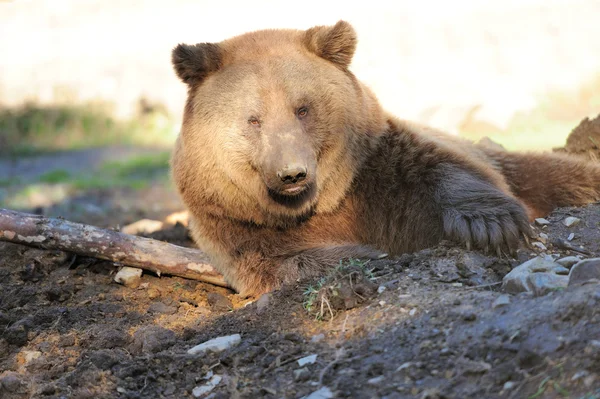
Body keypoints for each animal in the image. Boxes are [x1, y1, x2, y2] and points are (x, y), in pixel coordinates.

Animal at [169, 21, 600, 296]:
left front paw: (489, 225)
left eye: (302, 109)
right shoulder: (236, 223)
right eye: (253, 119)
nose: (292, 174)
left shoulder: (374, 172)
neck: (316, 206)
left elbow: (438, 172)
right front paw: (366, 255)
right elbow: (284, 263)